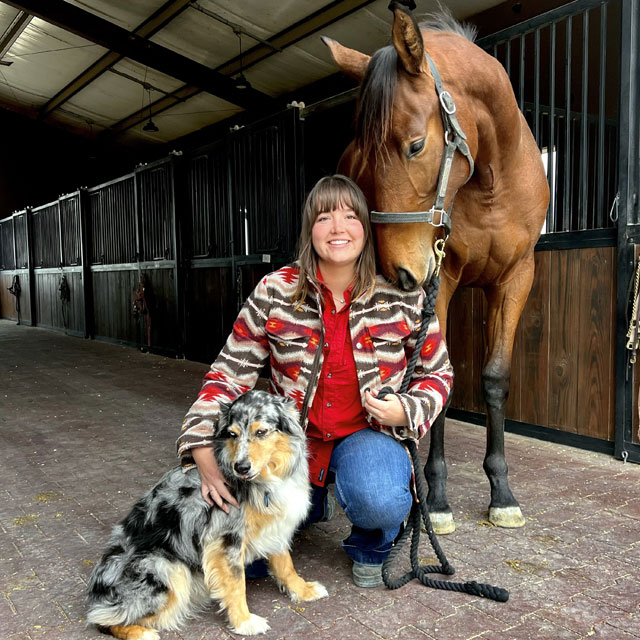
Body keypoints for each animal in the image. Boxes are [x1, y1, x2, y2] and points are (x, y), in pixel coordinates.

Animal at [86, 388, 324, 636]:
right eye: (232, 434)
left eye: (261, 432)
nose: (241, 468)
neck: (264, 478)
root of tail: (96, 594)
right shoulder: (227, 539)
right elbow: (237, 584)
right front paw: (244, 622)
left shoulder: (275, 525)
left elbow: (285, 564)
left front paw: (303, 590)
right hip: (167, 568)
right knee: (105, 618)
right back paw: (141, 633)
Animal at [324, 6, 552, 536]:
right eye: (367, 158)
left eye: (415, 145)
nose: (399, 272)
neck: (491, 181)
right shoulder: (439, 281)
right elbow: (438, 389)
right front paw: (438, 501)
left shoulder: (515, 278)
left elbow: (494, 379)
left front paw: (502, 494)